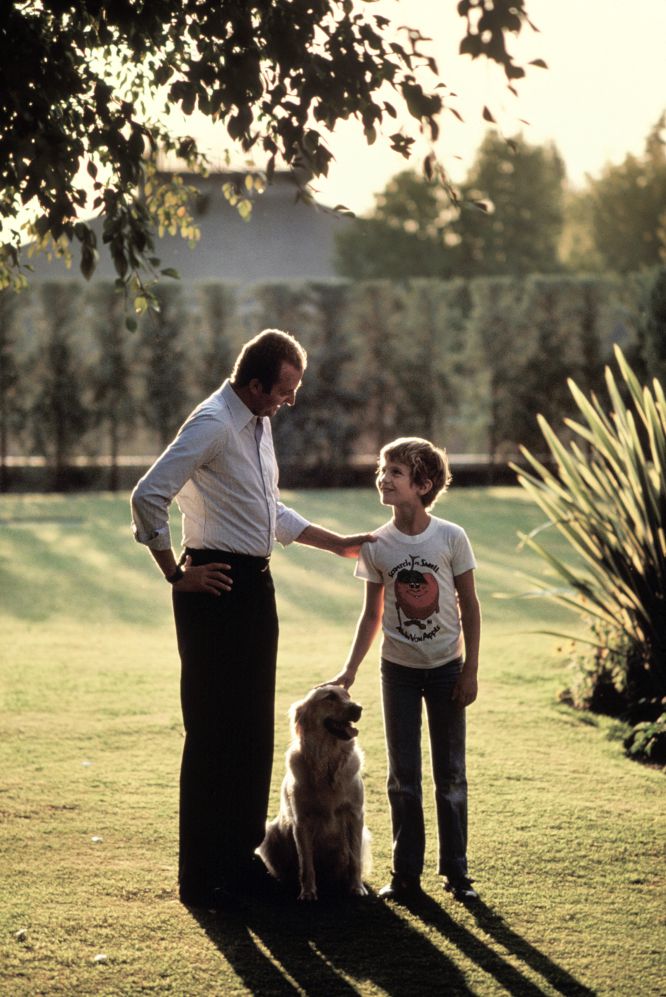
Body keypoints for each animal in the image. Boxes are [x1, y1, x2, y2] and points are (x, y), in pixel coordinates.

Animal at [258, 684, 370, 904]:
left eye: (347, 695)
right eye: (330, 697)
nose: (359, 708)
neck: (327, 762)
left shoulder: (355, 814)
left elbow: (354, 860)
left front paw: (356, 887)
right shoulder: (302, 820)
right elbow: (306, 863)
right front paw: (308, 892)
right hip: (271, 832)